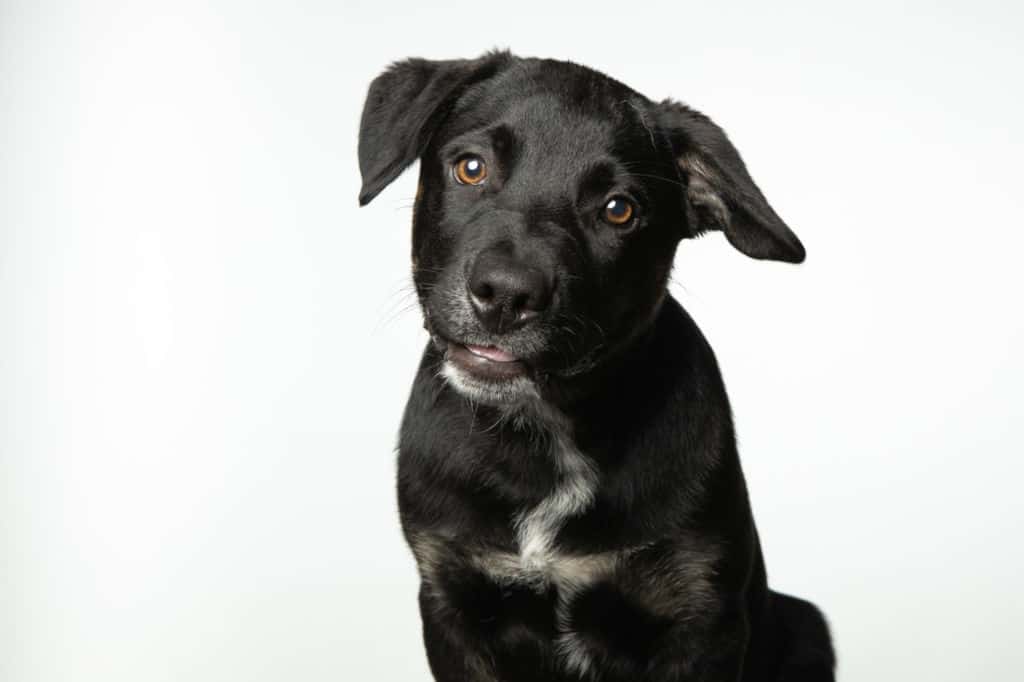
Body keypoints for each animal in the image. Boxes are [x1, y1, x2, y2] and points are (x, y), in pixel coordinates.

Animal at [356, 50, 835, 675]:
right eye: (471, 168)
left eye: (618, 210)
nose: (506, 295)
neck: (548, 431)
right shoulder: (451, 599)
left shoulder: (700, 617)